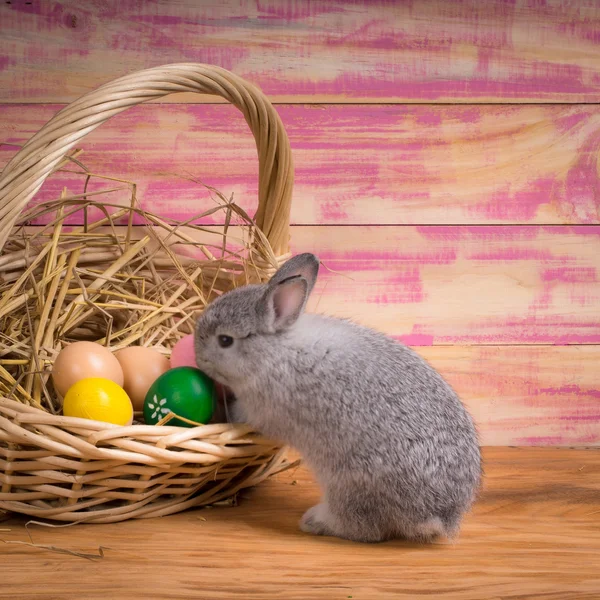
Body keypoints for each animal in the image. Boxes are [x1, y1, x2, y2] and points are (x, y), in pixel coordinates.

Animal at [195, 253, 480, 544]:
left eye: (225, 340)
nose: (198, 356)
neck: (274, 349)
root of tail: (440, 516)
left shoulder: (259, 408)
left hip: (350, 487)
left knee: (364, 529)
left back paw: (314, 522)